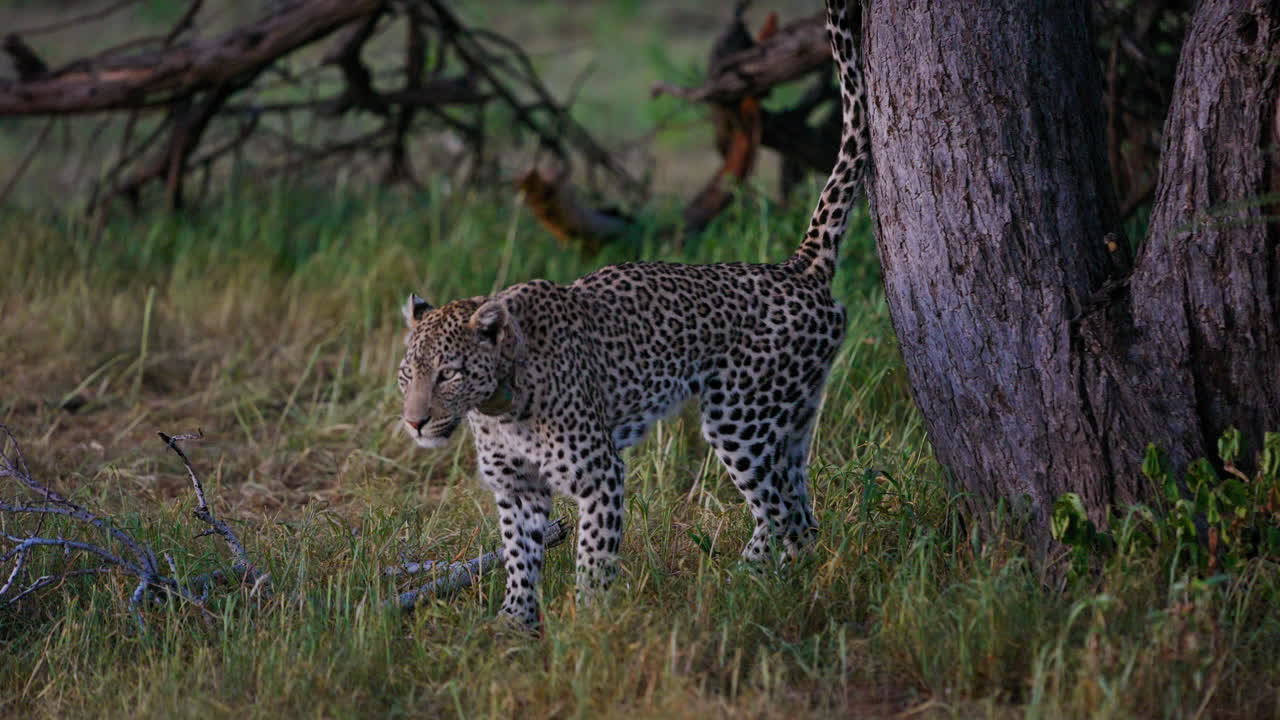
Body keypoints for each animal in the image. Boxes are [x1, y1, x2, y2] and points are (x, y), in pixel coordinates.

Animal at [396, 0, 869, 629]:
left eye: (447, 373)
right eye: (408, 375)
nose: (415, 422)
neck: (498, 406)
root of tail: (798, 267)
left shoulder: (600, 474)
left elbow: (593, 558)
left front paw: (592, 629)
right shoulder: (517, 490)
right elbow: (519, 557)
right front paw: (515, 626)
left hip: (739, 417)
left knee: (785, 514)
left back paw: (755, 595)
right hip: (790, 417)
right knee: (800, 509)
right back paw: (754, 584)